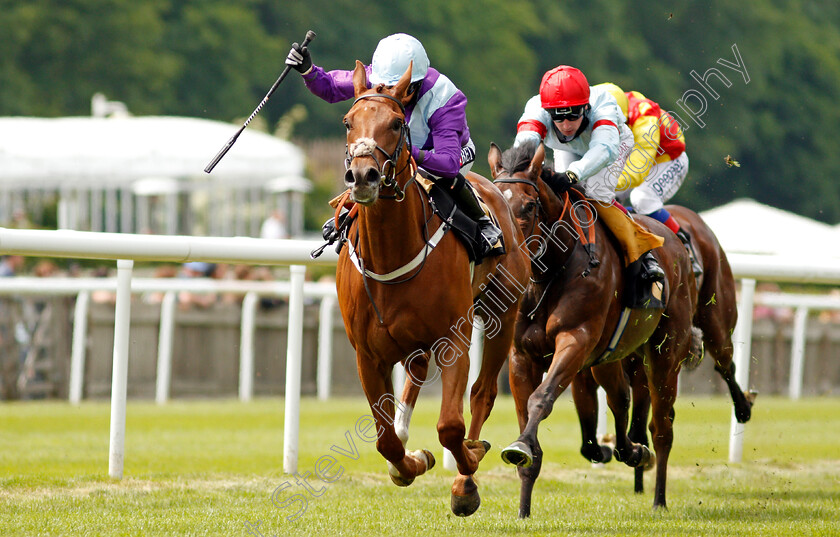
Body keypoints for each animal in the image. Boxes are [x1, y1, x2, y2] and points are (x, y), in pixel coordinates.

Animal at [334, 60, 524, 516]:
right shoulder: (368, 354)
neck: (392, 254)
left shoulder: (454, 337)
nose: (363, 176)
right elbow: (385, 439)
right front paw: (410, 462)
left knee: (482, 394)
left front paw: (466, 472)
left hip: (502, 312)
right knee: (416, 378)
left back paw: (465, 475)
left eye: (396, 123)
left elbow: (451, 426)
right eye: (348, 121)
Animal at [488, 141, 692, 516]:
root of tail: (676, 243)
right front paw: (523, 507)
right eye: (494, 204)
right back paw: (632, 451)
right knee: (620, 399)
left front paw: (521, 446)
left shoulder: (575, 340)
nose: (509, 260)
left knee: (662, 427)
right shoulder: (522, 355)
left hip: (666, 353)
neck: (548, 273)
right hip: (607, 358)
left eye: (529, 205)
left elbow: (541, 399)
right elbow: (528, 412)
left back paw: (658, 497)